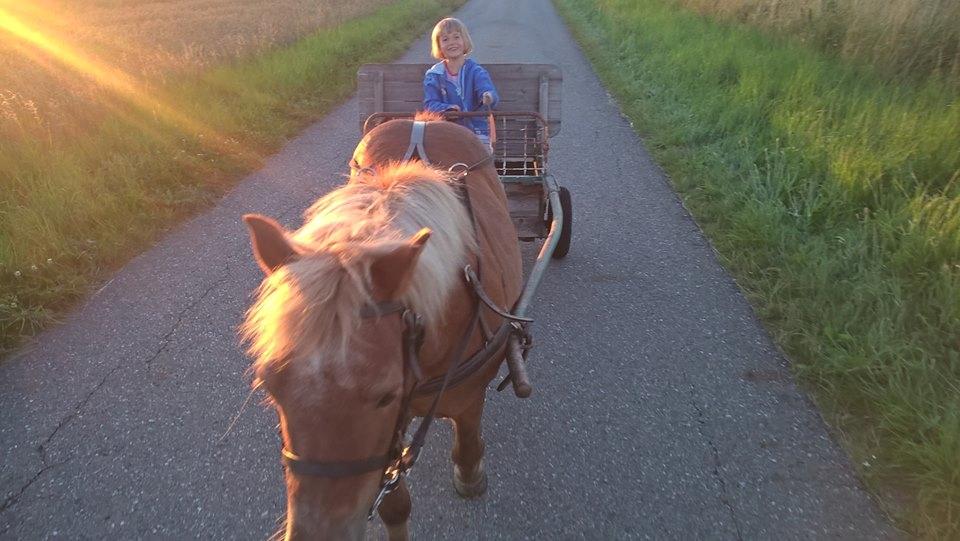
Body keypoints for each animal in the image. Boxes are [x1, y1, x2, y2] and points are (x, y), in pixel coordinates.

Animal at [240, 112, 524, 536]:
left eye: (385, 396)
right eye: (270, 386)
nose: (319, 533)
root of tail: (426, 119)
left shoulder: (467, 396)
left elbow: (468, 435)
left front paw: (471, 473)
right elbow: (394, 503)